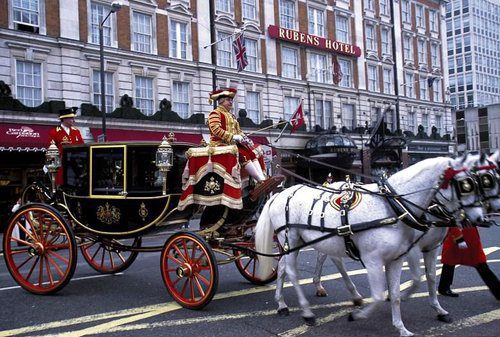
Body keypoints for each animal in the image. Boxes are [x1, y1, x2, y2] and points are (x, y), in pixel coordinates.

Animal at [256, 156, 482, 336]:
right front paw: (357, 315)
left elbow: (407, 288)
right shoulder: (375, 259)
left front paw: (402, 326)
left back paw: (282, 303)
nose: (479, 218)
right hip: (291, 238)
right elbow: (380, 294)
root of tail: (280, 193)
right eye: (465, 185)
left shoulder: (400, 257)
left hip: (301, 241)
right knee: (292, 271)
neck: (395, 207)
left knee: (285, 267)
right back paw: (306, 311)